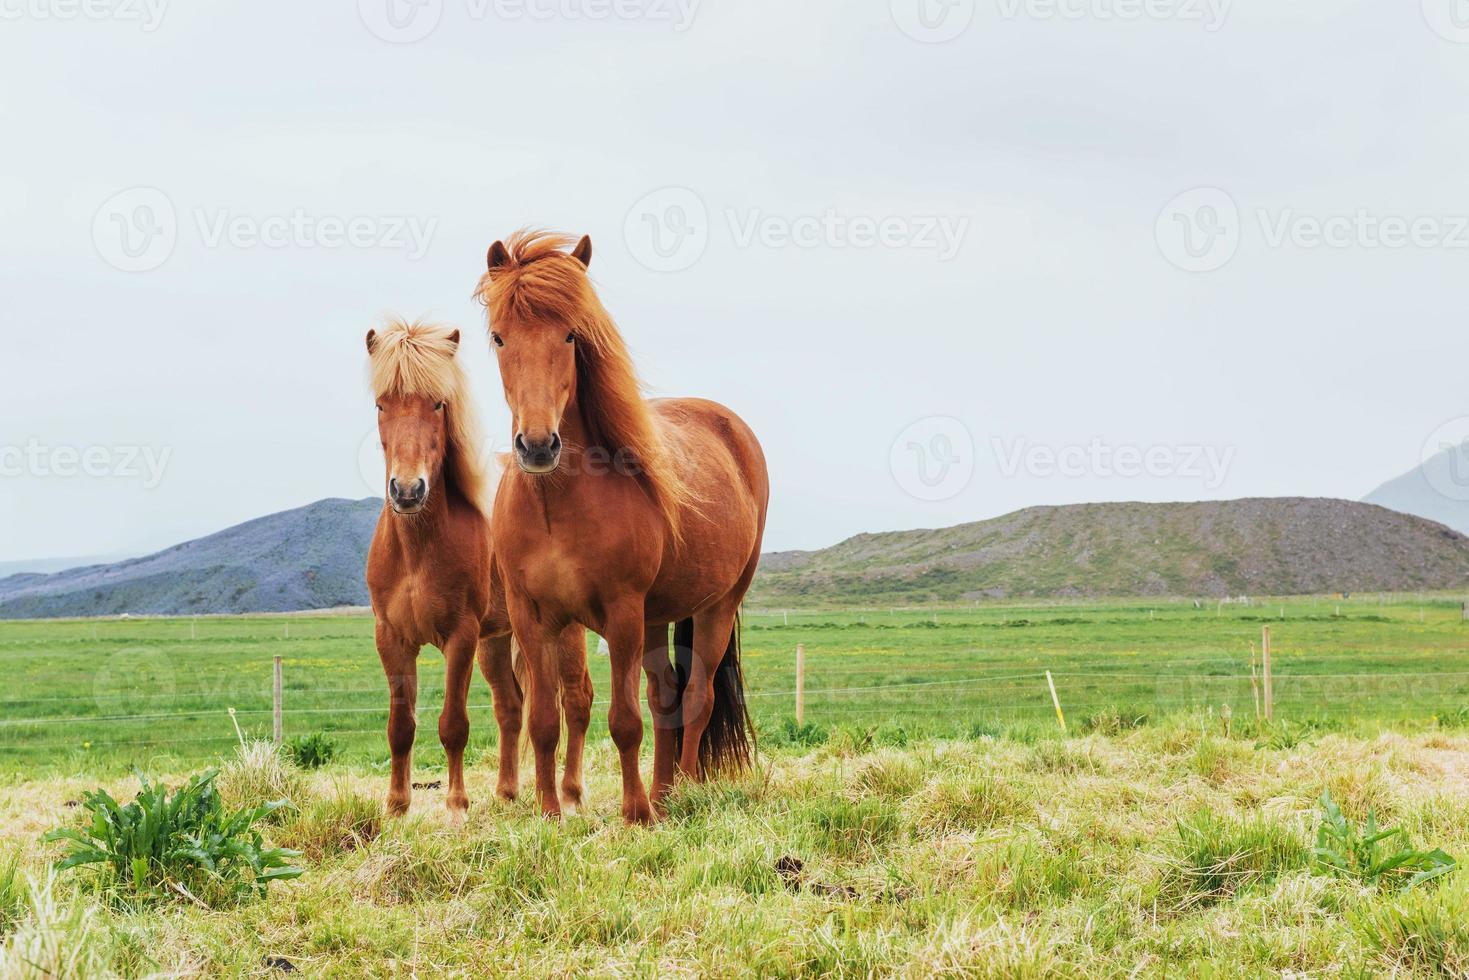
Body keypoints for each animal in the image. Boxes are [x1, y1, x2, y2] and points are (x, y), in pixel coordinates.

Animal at [361, 321, 590, 822]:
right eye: (381, 404)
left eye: (438, 404)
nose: (407, 490)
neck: (417, 550)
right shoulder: (392, 639)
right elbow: (400, 725)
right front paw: (396, 805)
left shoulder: (460, 636)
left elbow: (453, 724)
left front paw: (456, 805)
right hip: (497, 640)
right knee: (511, 706)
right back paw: (506, 792)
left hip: (562, 631)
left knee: (577, 699)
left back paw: (569, 793)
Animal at [475, 233, 775, 822]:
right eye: (499, 337)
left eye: (571, 334)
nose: (538, 445)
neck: (557, 506)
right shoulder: (532, 617)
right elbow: (544, 720)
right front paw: (550, 813)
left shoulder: (621, 614)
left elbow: (624, 721)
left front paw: (634, 815)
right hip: (657, 617)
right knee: (666, 698)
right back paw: (664, 794)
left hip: (715, 605)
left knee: (696, 697)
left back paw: (683, 794)